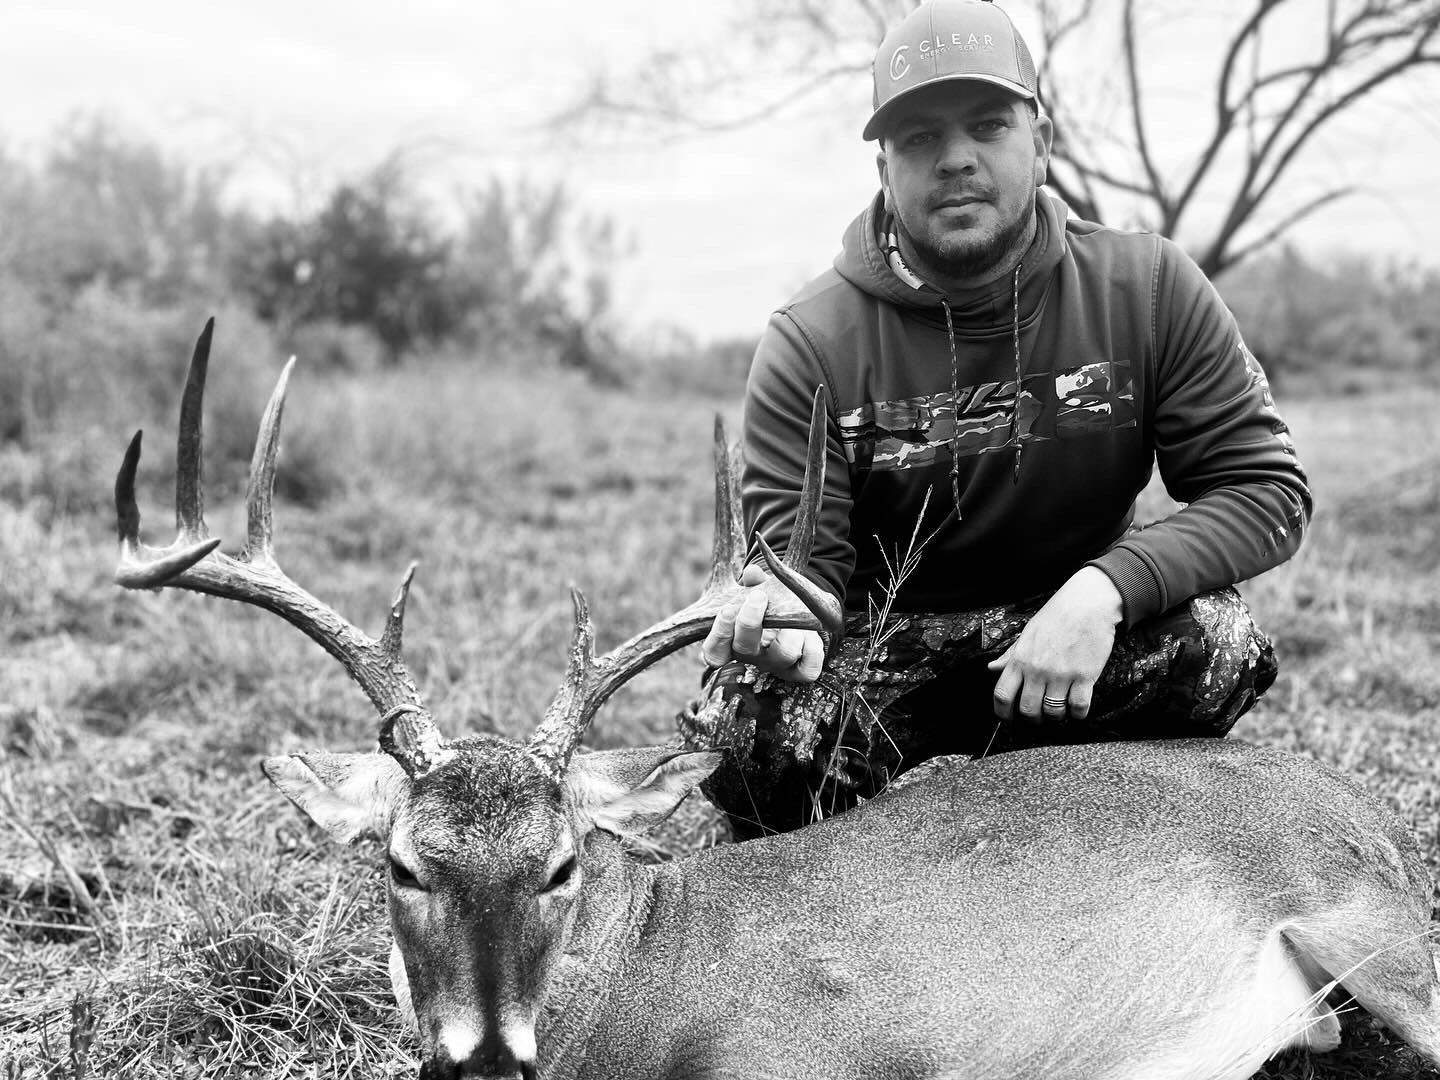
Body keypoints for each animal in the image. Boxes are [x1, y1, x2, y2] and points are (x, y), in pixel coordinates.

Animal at [115, 320, 1440, 1080]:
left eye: (562, 864)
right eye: (402, 862)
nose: (484, 1062)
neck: (649, 988)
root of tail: (1368, 807)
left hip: (1374, 929)